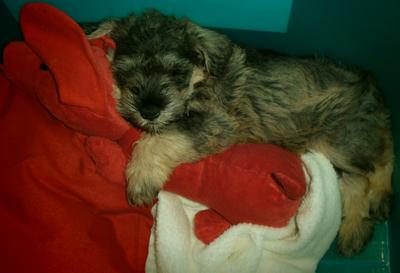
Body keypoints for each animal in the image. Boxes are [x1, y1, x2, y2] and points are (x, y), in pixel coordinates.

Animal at [86, 10, 394, 256]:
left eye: (176, 72)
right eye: (125, 72)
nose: (149, 110)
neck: (202, 76)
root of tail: (375, 86)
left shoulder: (214, 122)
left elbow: (157, 141)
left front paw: (140, 177)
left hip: (340, 143)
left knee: (383, 155)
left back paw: (380, 198)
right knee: (358, 180)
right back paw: (354, 229)